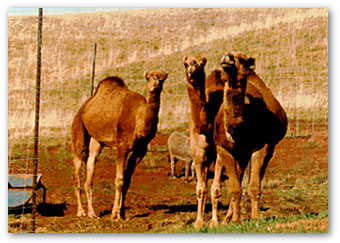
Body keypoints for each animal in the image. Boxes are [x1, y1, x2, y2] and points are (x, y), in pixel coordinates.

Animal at [71, 70, 168, 220]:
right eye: (148, 78)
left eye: (161, 79)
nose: (154, 87)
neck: (138, 117)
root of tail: (83, 107)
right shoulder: (122, 146)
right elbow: (120, 180)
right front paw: (114, 215)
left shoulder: (140, 150)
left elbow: (127, 180)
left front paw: (122, 213)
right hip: (79, 128)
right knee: (77, 169)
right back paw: (81, 212)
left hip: (97, 141)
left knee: (90, 172)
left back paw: (92, 213)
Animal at [210, 51, 286, 228]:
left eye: (242, 59)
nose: (227, 58)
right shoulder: (223, 148)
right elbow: (234, 188)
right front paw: (235, 220)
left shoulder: (261, 145)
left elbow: (254, 186)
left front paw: (256, 218)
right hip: (239, 154)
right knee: (236, 177)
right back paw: (227, 219)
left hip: (265, 149)